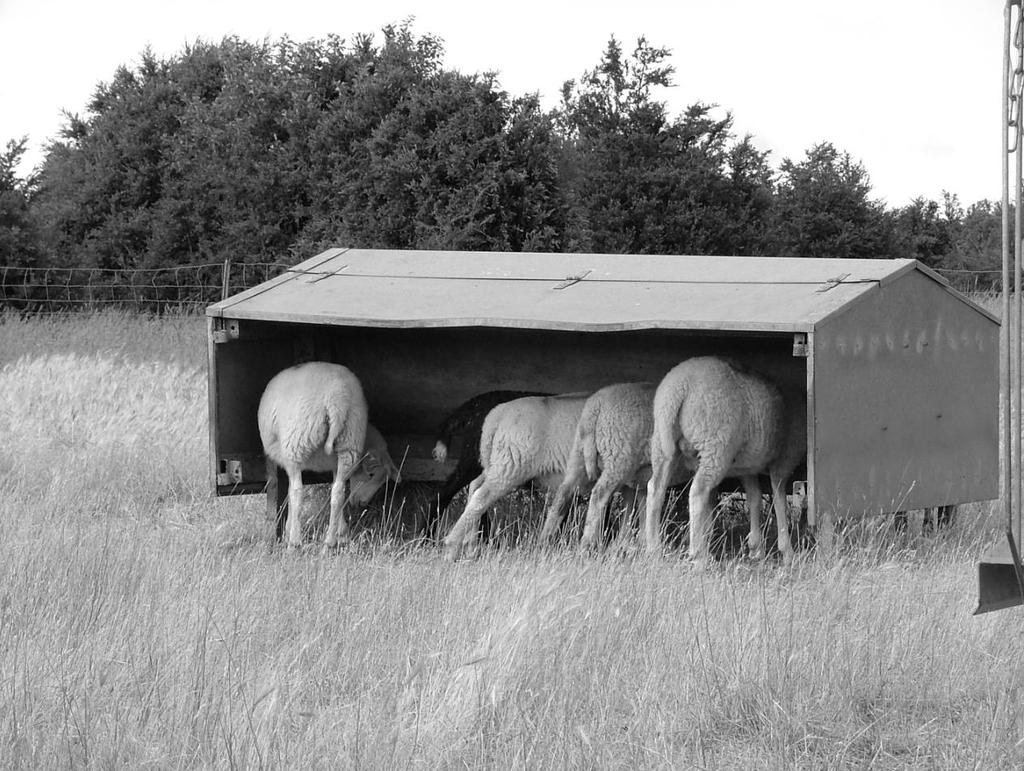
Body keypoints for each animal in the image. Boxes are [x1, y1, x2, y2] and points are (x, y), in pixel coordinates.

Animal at [258, 360, 397, 548]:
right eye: (371, 475)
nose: (362, 503)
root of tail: (337, 400)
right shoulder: (335, 464)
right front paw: (342, 531)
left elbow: (287, 490)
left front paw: (288, 531)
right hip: (349, 442)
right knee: (338, 493)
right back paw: (331, 542)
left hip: (296, 442)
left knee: (297, 491)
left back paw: (295, 541)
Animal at [442, 393, 593, 557]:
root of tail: (496, 415)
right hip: (511, 464)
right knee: (480, 496)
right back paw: (452, 547)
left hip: (496, 463)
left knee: (474, 488)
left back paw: (471, 546)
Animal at [643, 358, 802, 561]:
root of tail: (679, 388)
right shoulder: (784, 460)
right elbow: (779, 499)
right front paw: (787, 551)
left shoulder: (747, 466)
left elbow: (754, 497)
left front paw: (756, 548)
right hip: (716, 445)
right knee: (698, 491)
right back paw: (698, 554)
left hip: (663, 444)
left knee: (655, 488)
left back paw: (654, 548)